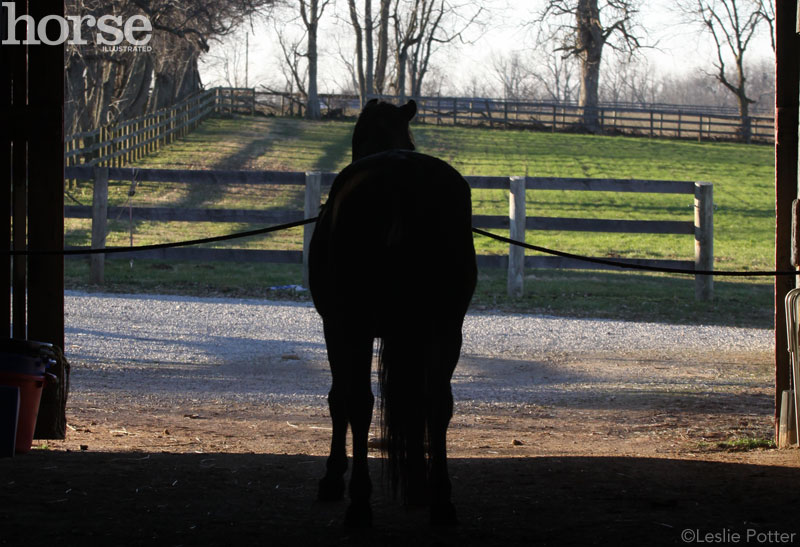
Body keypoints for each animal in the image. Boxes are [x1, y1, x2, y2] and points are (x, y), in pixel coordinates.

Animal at [310, 100, 478, 528]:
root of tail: (401, 179)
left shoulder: (335, 327)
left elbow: (339, 398)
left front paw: (332, 477)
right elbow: (415, 404)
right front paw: (417, 485)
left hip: (355, 326)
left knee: (359, 403)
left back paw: (359, 504)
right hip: (445, 329)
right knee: (437, 403)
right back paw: (440, 501)